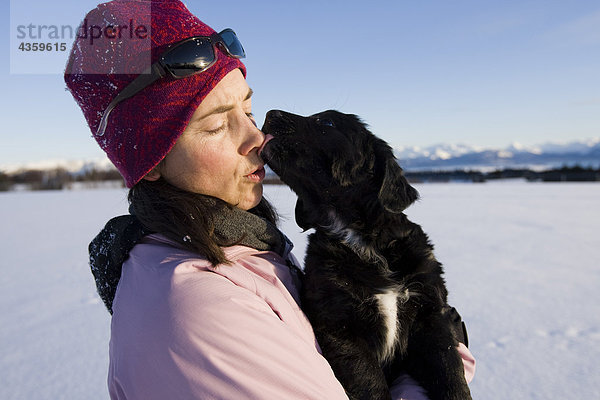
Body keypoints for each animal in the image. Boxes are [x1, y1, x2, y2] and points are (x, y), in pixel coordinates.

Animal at [262, 109, 474, 400]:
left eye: (327, 121)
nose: (269, 113)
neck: (361, 236)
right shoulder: (340, 327)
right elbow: (369, 383)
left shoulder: (431, 314)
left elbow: (451, 371)